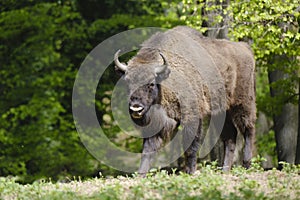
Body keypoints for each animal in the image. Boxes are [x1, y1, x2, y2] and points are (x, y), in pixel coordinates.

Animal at [114, 25, 255, 175]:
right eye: (127, 81)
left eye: (151, 83)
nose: (136, 108)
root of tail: (245, 48)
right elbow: (148, 148)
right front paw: (141, 174)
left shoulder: (192, 118)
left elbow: (190, 148)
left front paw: (190, 172)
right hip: (221, 112)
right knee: (230, 136)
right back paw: (225, 169)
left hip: (243, 103)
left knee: (248, 128)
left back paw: (247, 164)